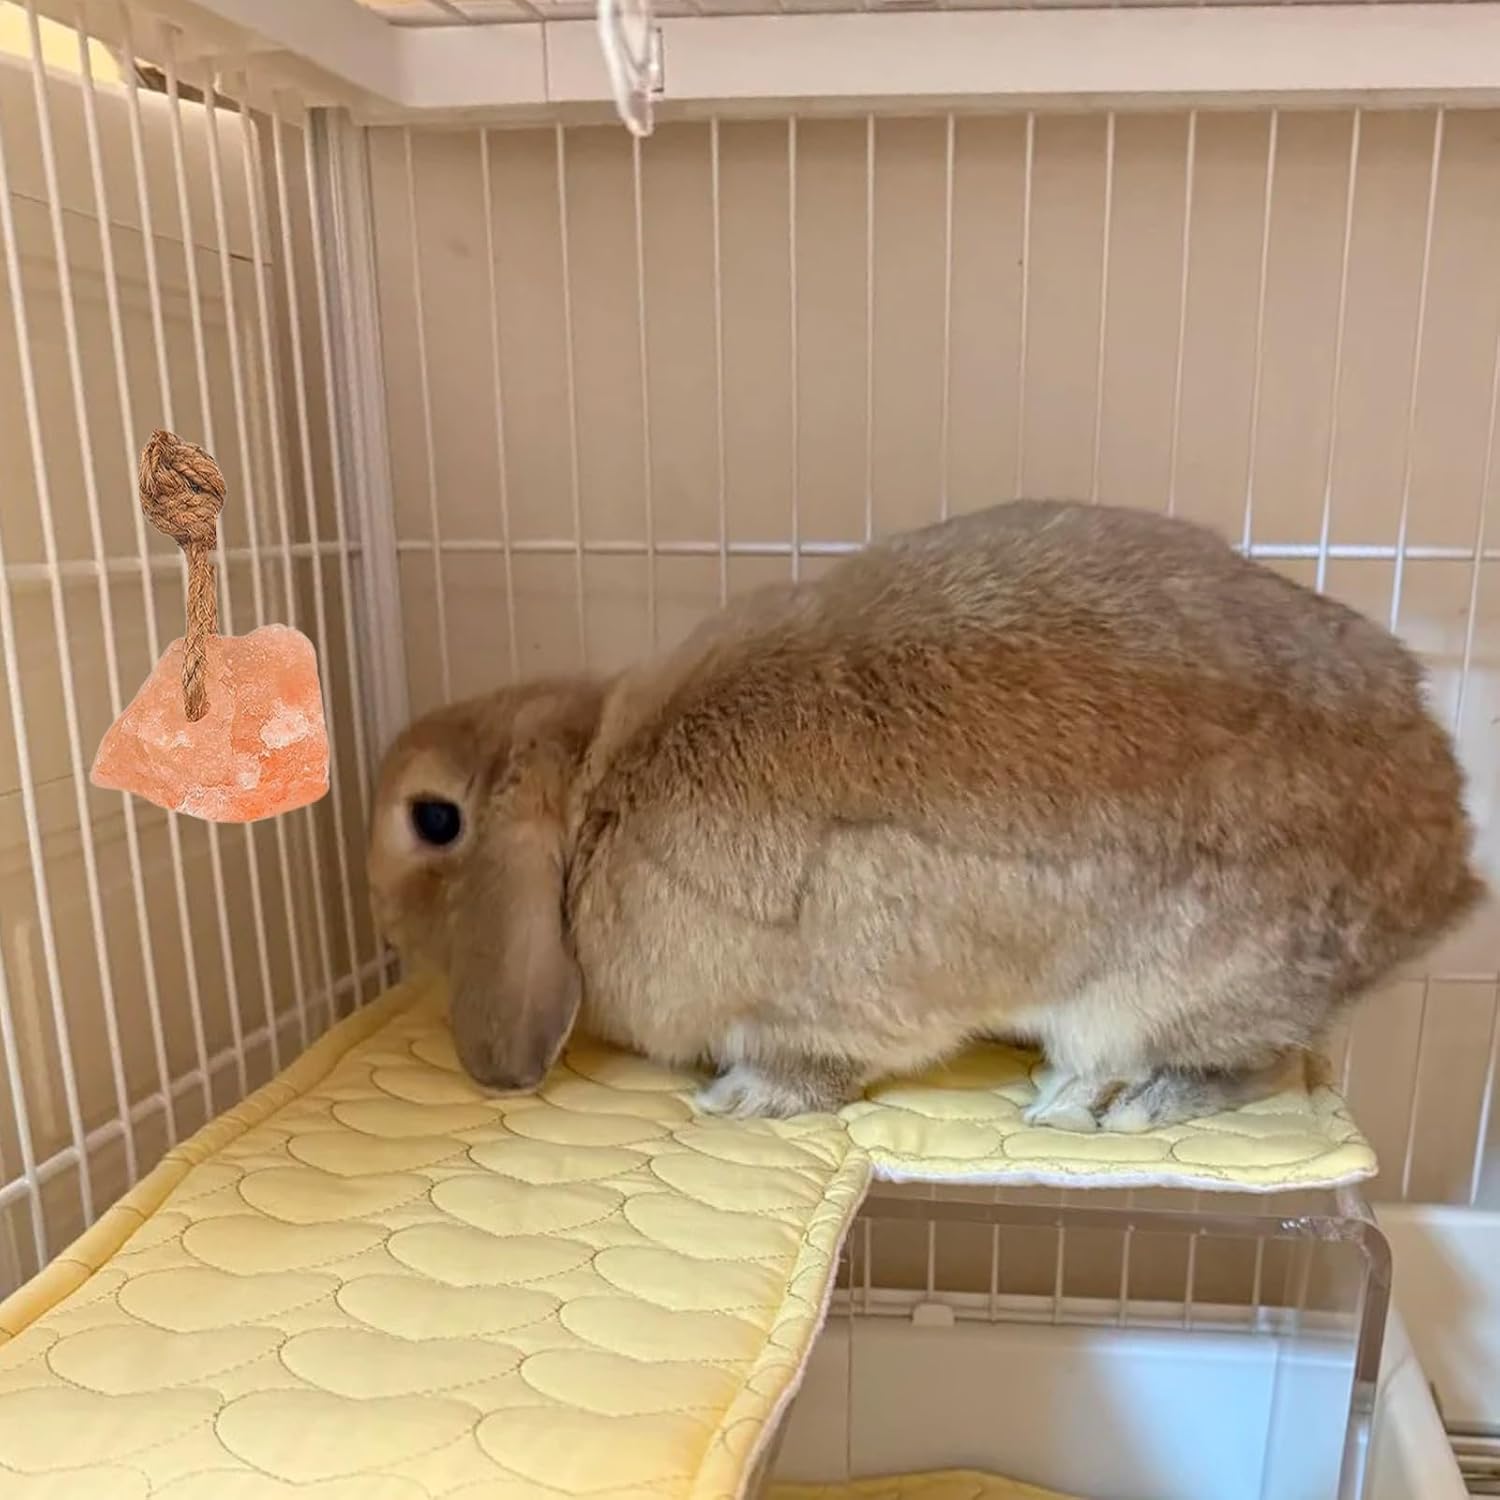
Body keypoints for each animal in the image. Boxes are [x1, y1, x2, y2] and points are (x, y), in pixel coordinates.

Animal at [368, 500, 1483, 1131]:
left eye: (434, 820)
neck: (595, 794)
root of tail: (1446, 871)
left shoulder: (831, 998)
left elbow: (820, 1059)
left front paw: (745, 1100)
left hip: (1166, 990)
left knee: (1264, 1063)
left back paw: (1109, 1102)